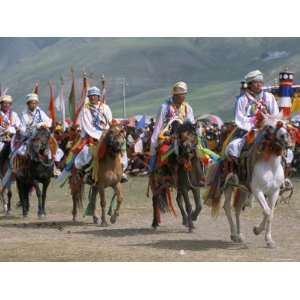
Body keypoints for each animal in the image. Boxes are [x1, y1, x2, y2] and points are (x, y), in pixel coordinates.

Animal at [206, 113, 290, 247]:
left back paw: (239, 235)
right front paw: (257, 230)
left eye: (285, 125)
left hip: (243, 190)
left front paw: (268, 239)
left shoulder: (274, 192)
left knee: (237, 209)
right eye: (270, 127)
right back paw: (234, 235)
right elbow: (267, 211)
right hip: (229, 186)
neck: (270, 166)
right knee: (227, 207)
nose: (284, 136)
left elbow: (270, 213)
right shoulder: (257, 191)